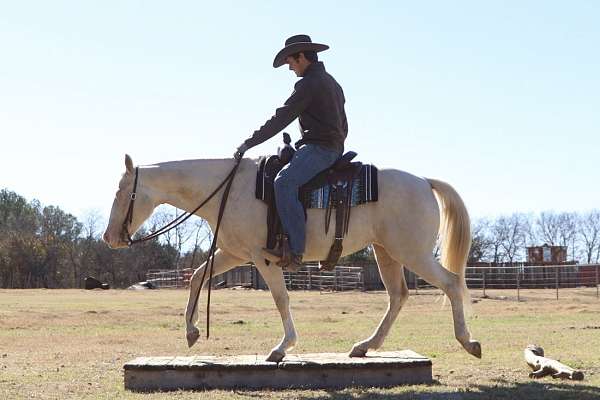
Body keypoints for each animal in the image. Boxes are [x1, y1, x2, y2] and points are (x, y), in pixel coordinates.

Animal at [101, 155, 480, 364]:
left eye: (122, 192)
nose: (109, 238)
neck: (227, 190)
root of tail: (424, 181)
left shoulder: (262, 258)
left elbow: (280, 298)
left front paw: (282, 347)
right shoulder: (234, 253)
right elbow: (196, 276)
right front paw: (192, 331)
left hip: (412, 253)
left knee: (451, 284)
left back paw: (469, 342)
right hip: (387, 252)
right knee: (398, 296)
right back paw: (364, 346)